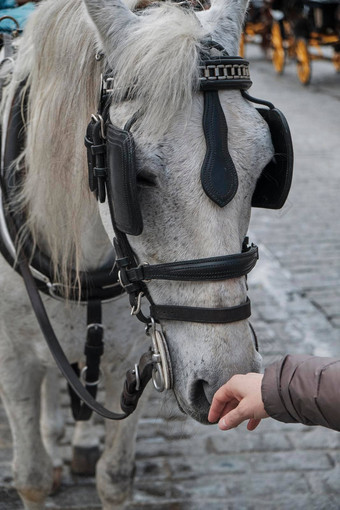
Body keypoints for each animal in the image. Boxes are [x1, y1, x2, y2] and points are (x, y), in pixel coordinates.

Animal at [0, 0, 272, 508]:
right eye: (138, 175)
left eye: (266, 167)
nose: (227, 380)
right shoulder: (13, 361)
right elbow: (31, 475)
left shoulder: (143, 352)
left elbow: (116, 476)